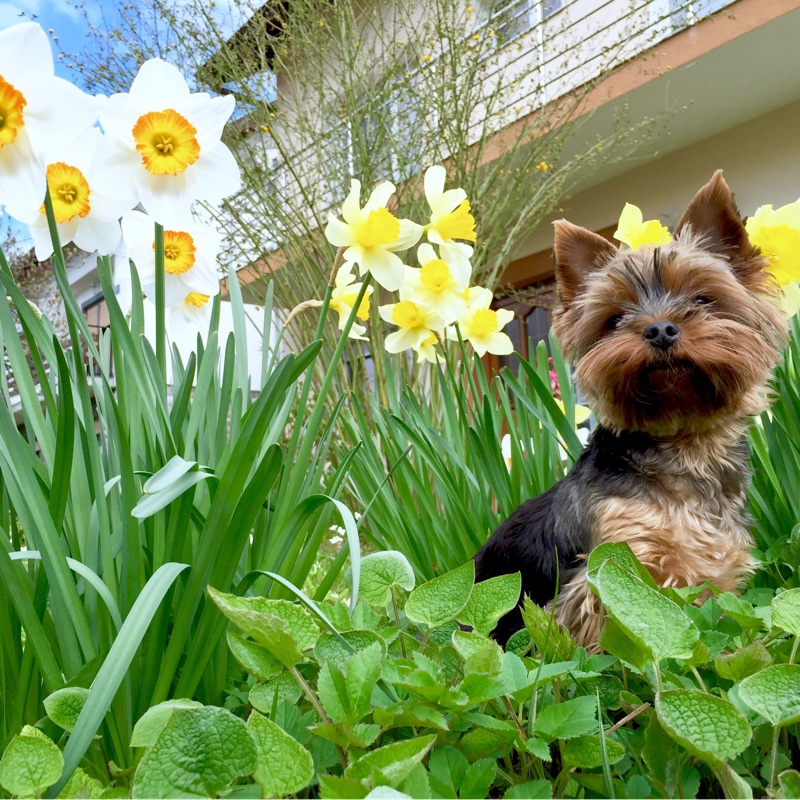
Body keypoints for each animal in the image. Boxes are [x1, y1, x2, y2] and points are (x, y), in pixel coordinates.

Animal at [476, 172, 788, 648]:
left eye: (702, 299)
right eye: (615, 318)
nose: (659, 329)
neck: (685, 446)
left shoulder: (715, 568)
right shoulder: (613, 568)